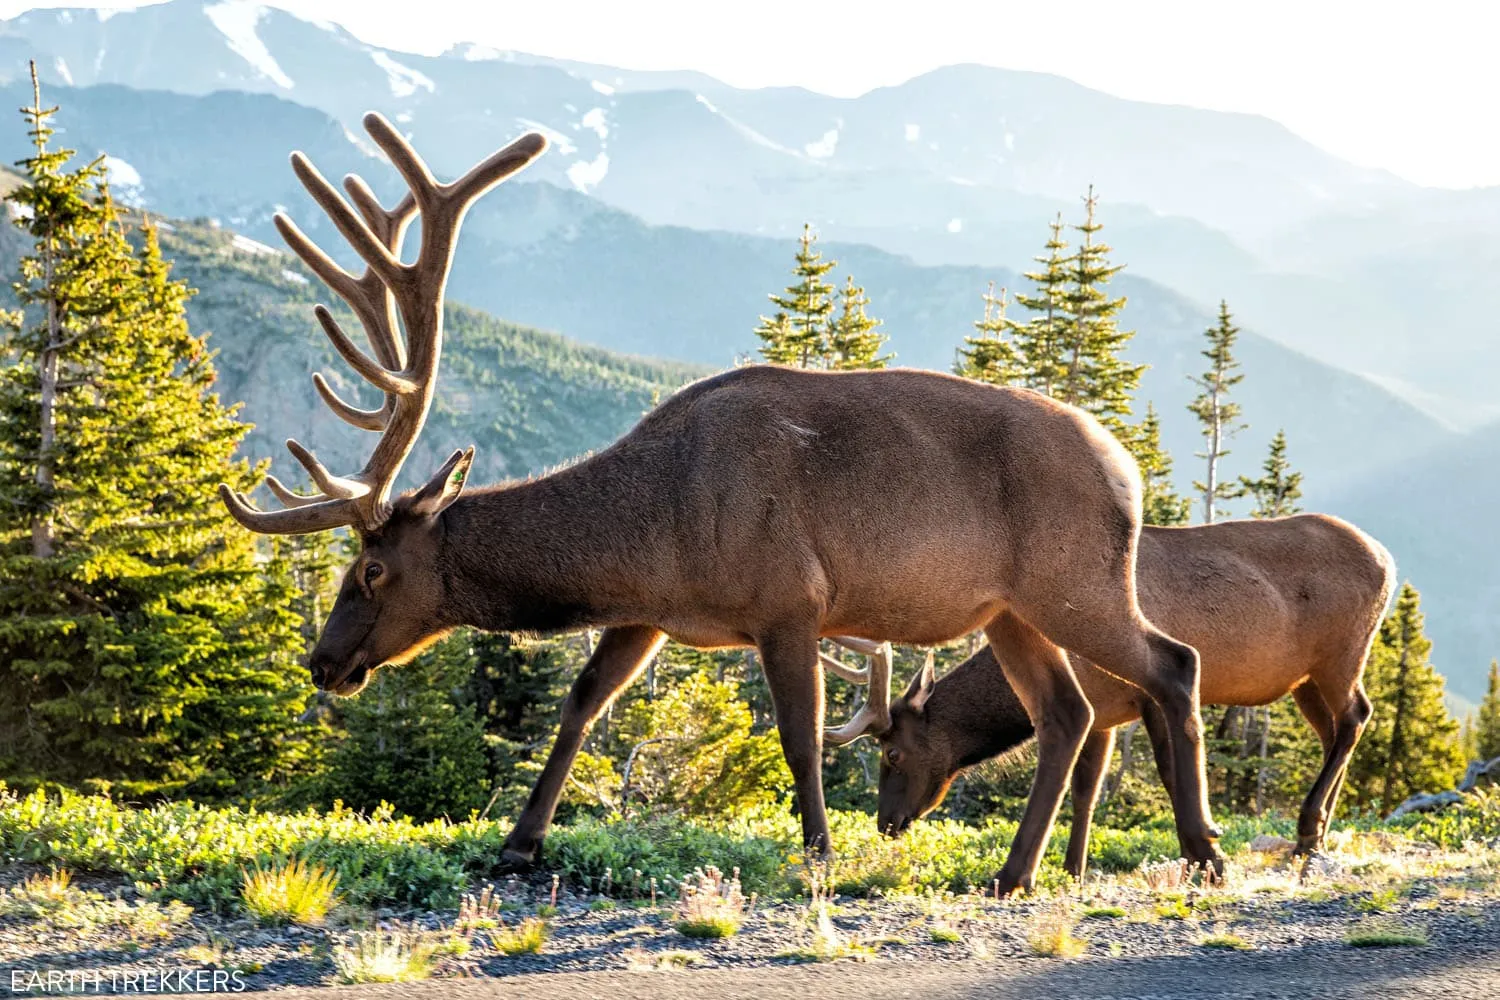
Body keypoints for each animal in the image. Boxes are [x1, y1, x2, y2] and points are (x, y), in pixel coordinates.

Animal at [216, 113, 1222, 896]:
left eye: (371, 570)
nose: (322, 661)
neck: (652, 527)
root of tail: (1129, 470)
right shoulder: (653, 611)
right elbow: (582, 702)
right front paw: (518, 843)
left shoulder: (788, 599)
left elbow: (800, 737)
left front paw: (817, 856)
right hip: (1011, 607)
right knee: (1068, 713)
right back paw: (1015, 874)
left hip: (1074, 579)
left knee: (1171, 664)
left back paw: (1202, 853)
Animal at [823, 513, 1396, 876]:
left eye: (893, 753)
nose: (885, 823)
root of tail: (1388, 560)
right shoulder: (1105, 715)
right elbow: (1086, 790)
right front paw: (1073, 870)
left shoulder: (1143, 701)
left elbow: (1168, 774)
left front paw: (1194, 852)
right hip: (1306, 679)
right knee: (1338, 729)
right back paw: (1318, 833)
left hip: (1341, 653)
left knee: (1355, 716)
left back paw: (1308, 826)